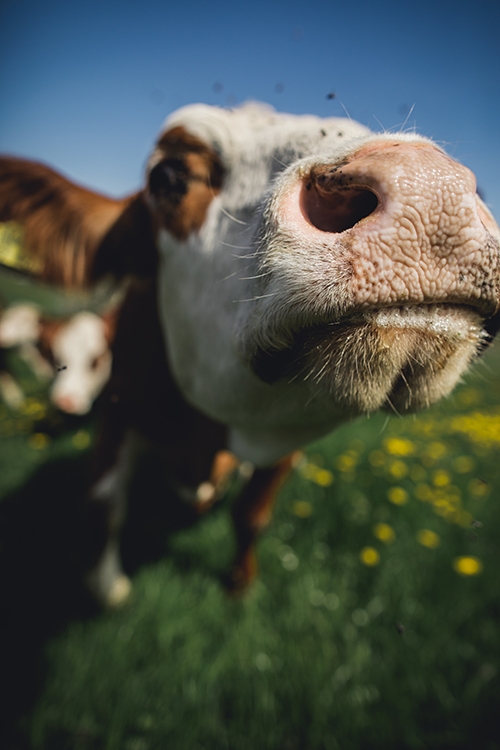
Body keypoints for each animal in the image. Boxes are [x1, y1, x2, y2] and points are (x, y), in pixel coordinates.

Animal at [1, 102, 499, 607]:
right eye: (168, 176)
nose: (428, 185)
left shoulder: (283, 435)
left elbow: (250, 515)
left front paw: (239, 585)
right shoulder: (121, 405)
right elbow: (104, 504)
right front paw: (110, 587)